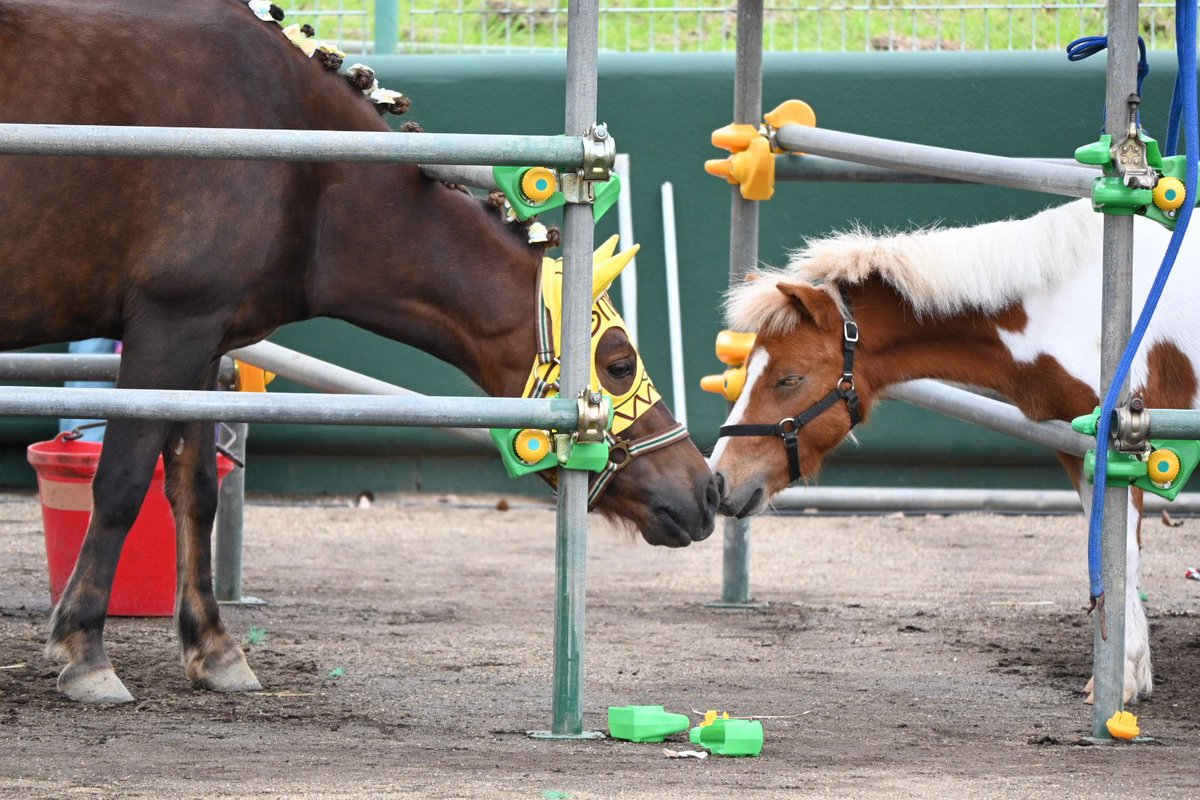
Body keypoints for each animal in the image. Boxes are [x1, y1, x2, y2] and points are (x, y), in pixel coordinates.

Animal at [0, 0, 718, 703]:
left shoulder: (201, 343)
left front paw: (215, 649)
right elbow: (121, 482)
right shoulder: (168, 328)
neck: (303, 167)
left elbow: (195, 490)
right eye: (618, 364)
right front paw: (84, 650)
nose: (706, 489)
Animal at [709, 198, 1200, 704]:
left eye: (790, 378)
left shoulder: (1127, 450)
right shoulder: (1077, 447)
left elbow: (1123, 556)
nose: (718, 478)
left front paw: (1122, 679)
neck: (1075, 301)